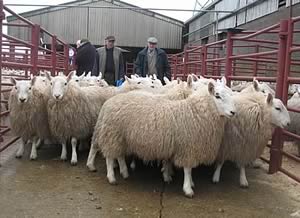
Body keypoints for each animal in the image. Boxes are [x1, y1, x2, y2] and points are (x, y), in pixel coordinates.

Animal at [88, 80, 236, 198]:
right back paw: (111, 177)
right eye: (217, 96)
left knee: (119, 155)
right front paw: (188, 188)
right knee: (109, 157)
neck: (194, 112)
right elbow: (188, 169)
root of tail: (108, 102)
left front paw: (175, 178)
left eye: (231, 94)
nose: (233, 112)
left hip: (121, 137)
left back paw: (124, 172)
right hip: (112, 134)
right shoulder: (188, 148)